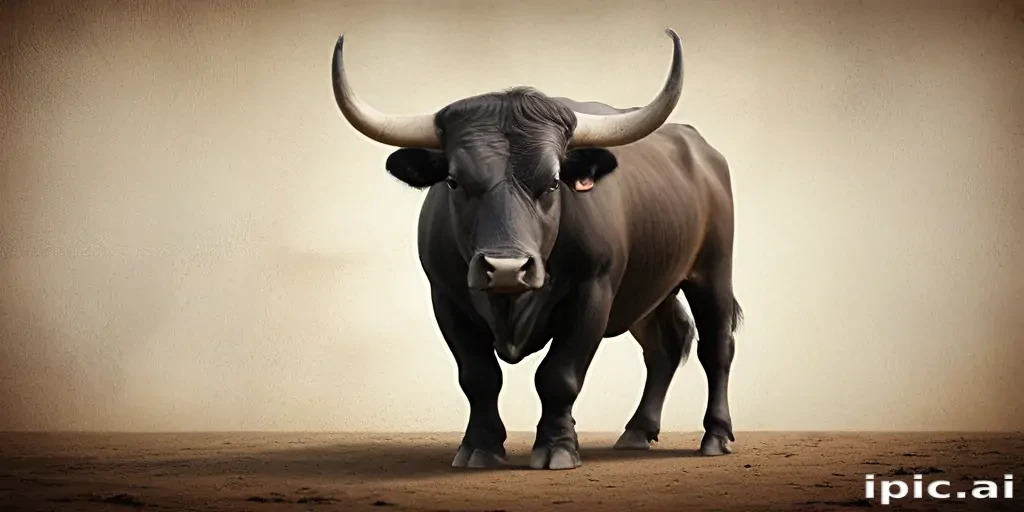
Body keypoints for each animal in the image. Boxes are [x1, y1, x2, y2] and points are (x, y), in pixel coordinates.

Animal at [330, 28, 743, 470]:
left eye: (553, 181)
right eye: (454, 181)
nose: (506, 268)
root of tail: (702, 151)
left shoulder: (593, 293)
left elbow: (558, 375)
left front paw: (558, 446)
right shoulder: (446, 297)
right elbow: (478, 376)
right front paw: (480, 446)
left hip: (712, 270)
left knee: (716, 346)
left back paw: (716, 434)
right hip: (650, 288)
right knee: (665, 344)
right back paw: (637, 432)